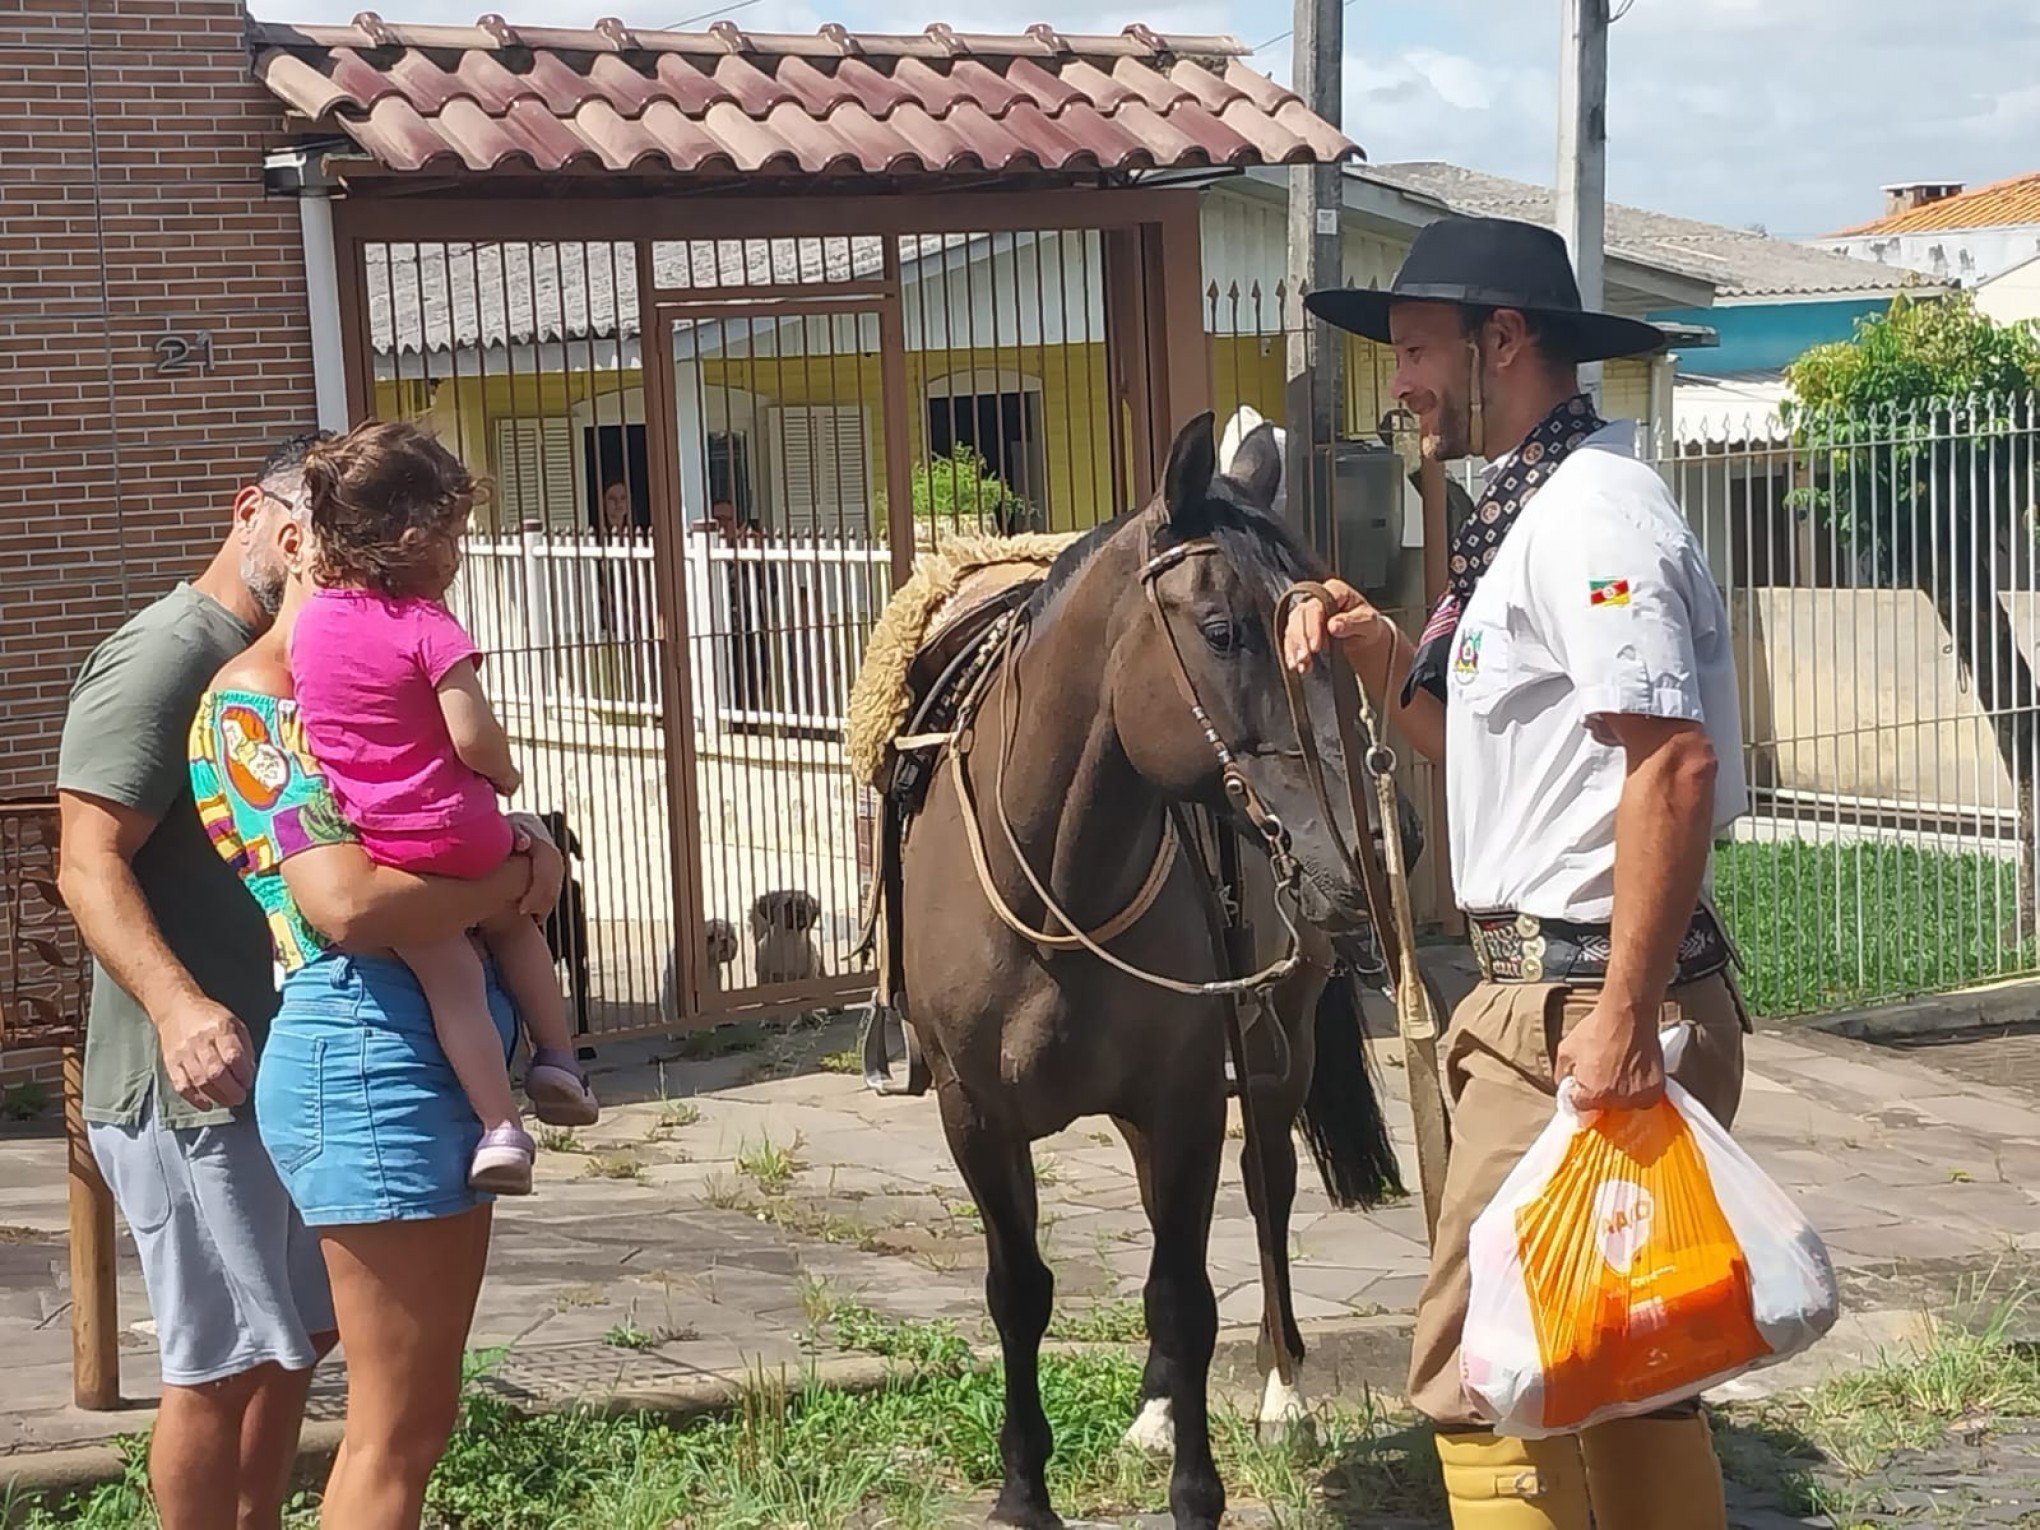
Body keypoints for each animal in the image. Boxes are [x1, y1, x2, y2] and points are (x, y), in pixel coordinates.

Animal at [901, 414, 1411, 1525]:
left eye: (1325, 641)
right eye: (1221, 632)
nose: (1350, 863)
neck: (1057, 887)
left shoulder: (1185, 1100)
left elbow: (1185, 1298)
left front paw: (1197, 1491)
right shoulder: (974, 1116)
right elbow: (1020, 1292)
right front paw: (1024, 1488)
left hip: (1276, 1045)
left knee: (1266, 1194)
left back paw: (1279, 1399)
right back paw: (1154, 1414)